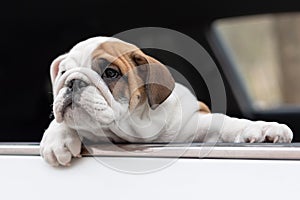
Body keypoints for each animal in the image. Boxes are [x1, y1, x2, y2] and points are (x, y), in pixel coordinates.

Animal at [39, 36, 292, 166]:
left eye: (111, 73)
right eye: (63, 73)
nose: (73, 82)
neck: (135, 126)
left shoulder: (195, 121)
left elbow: (228, 123)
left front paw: (265, 129)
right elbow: (64, 123)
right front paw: (58, 139)